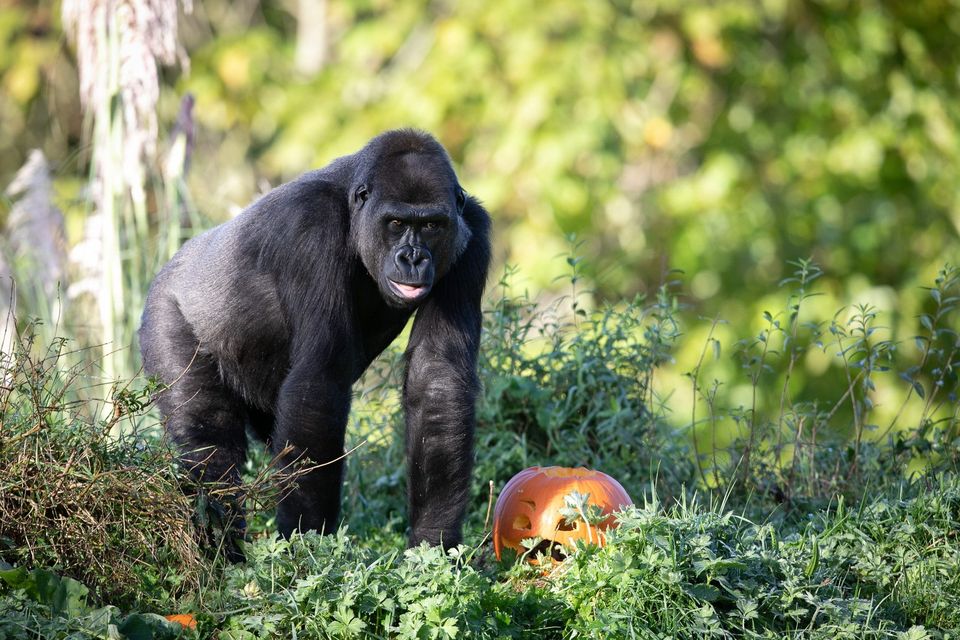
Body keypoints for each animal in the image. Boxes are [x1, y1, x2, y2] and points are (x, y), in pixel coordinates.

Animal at [139, 129, 492, 552]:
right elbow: (320, 381)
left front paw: (433, 540)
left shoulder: (473, 234)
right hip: (165, 311)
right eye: (396, 223)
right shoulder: (310, 227)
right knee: (209, 439)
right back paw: (224, 544)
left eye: (433, 226)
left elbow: (437, 378)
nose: (413, 257)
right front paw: (310, 546)